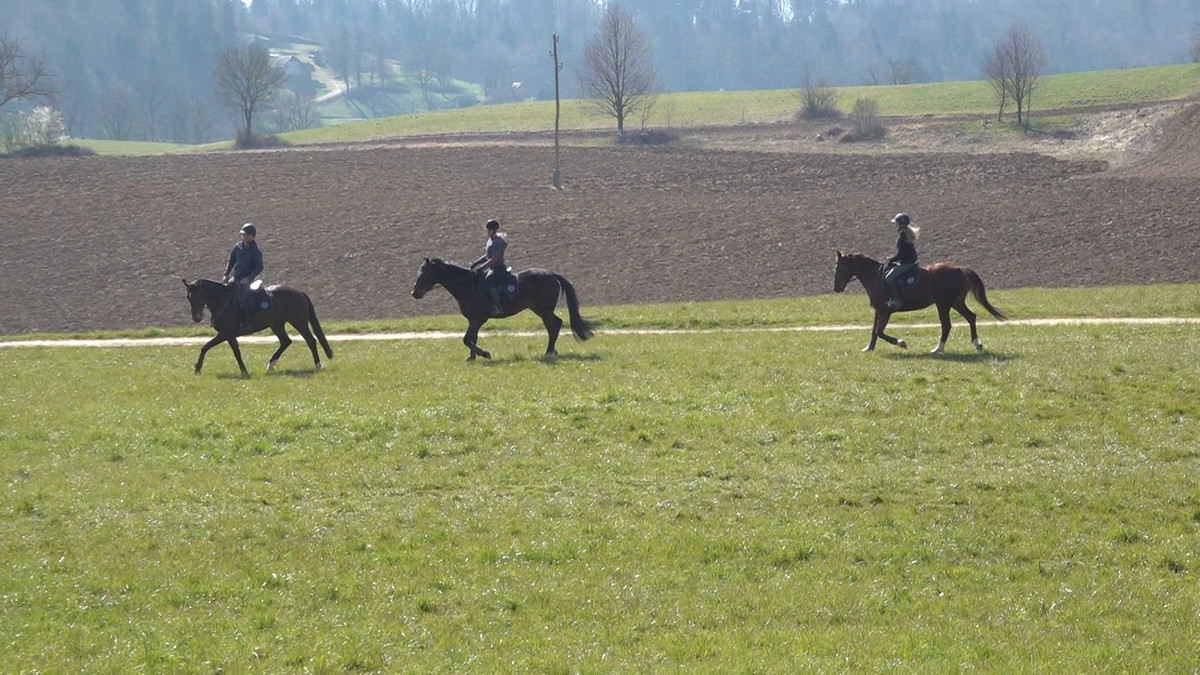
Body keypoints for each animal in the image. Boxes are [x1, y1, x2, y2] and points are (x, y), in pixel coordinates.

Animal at [177, 276, 331, 374]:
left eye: (197, 296)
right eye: (188, 297)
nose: (196, 318)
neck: (222, 300)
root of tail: (299, 292)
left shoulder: (225, 333)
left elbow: (205, 347)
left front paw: (197, 368)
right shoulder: (229, 335)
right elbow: (236, 352)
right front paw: (244, 371)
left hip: (298, 322)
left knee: (311, 340)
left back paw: (318, 366)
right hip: (276, 325)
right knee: (285, 341)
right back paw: (270, 365)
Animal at [412, 255, 595, 360]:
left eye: (424, 273)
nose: (414, 293)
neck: (467, 285)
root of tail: (551, 274)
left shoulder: (478, 319)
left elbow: (466, 339)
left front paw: (485, 354)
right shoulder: (473, 320)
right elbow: (472, 339)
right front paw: (472, 358)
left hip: (544, 310)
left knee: (554, 325)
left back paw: (549, 352)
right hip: (541, 310)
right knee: (554, 324)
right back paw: (551, 351)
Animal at [835, 248, 1003, 353]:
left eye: (839, 268)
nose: (836, 288)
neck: (875, 276)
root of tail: (959, 269)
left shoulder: (885, 311)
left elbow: (880, 332)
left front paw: (901, 343)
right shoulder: (878, 310)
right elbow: (874, 331)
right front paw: (869, 348)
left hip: (943, 304)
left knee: (946, 325)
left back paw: (938, 349)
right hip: (956, 302)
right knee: (971, 317)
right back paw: (977, 344)